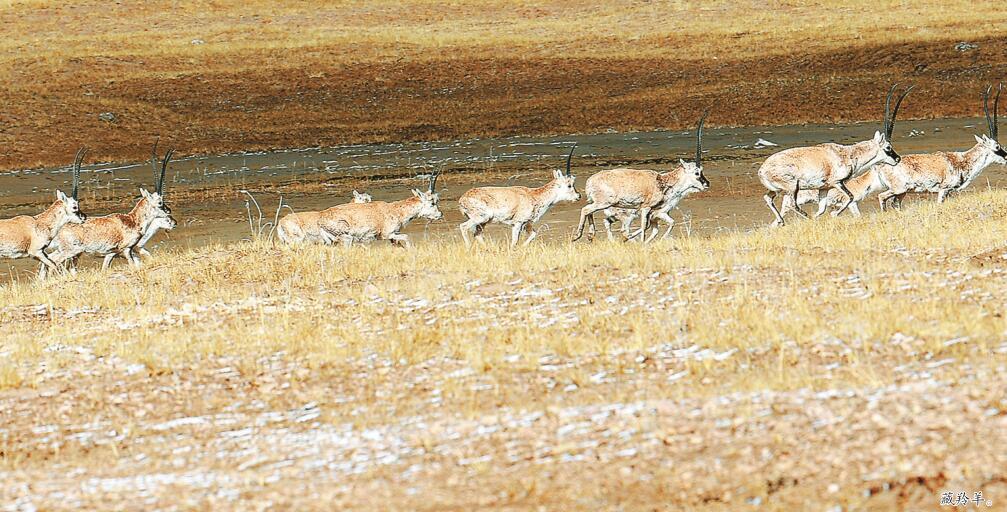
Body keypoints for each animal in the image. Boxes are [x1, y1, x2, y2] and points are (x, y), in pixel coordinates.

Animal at [0, 148, 87, 276]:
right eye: (74, 207)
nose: (84, 217)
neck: (40, 222)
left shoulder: (41, 253)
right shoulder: (35, 252)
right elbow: (53, 265)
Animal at [571, 111, 712, 241]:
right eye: (696, 172)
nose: (707, 184)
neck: (662, 181)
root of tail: (590, 181)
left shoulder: (653, 212)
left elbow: (661, 225)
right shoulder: (646, 208)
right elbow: (645, 227)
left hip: (600, 203)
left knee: (590, 212)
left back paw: (591, 235)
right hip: (604, 203)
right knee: (586, 210)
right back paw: (577, 236)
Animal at [757, 85, 918, 224]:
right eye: (888, 147)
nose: (898, 159)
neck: (849, 154)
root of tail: (762, 171)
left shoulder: (824, 188)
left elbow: (822, 209)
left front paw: (819, 217)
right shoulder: (837, 182)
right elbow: (850, 197)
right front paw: (834, 214)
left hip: (777, 190)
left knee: (768, 198)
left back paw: (782, 221)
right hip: (792, 187)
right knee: (792, 204)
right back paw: (802, 218)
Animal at [874, 83, 1007, 208]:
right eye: (997, 147)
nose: (1006, 157)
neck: (963, 160)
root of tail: (881, 165)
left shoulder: (949, 192)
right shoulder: (944, 189)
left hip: (902, 192)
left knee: (895, 204)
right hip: (899, 189)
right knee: (881, 197)